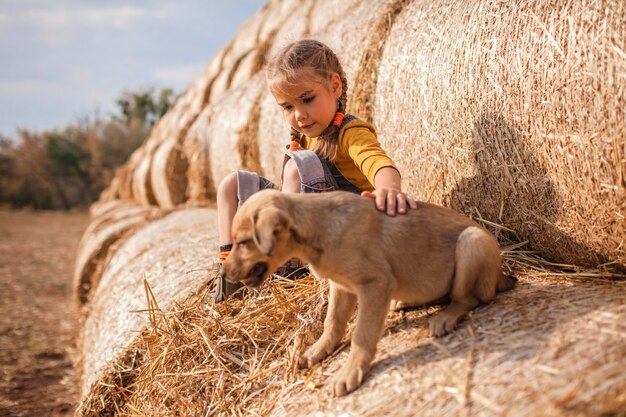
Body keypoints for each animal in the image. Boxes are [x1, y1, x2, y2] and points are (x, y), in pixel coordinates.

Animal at [222, 190, 516, 394]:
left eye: (243, 242)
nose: (225, 273)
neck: (317, 228)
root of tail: (502, 276)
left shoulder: (374, 283)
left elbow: (361, 336)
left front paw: (349, 372)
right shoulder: (341, 287)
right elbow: (332, 324)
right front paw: (317, 351)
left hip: (472, 242)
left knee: (469, 299)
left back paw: (444, 318)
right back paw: (404, 302)